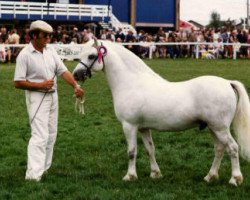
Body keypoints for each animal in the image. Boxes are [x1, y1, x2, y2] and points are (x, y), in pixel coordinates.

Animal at [72, 39, 250, 186]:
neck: (131, 83)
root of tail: (227, 83)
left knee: (233, 148)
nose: (76, 75)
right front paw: (155, 173)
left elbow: (131, 152)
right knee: (219, 149)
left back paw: (235, 179)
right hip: (213, 128)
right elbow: (150, 149)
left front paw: (130, 176)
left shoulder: (129, 126)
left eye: (91, 56)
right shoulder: (143, 128)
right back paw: (210, 177)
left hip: (220, 128)